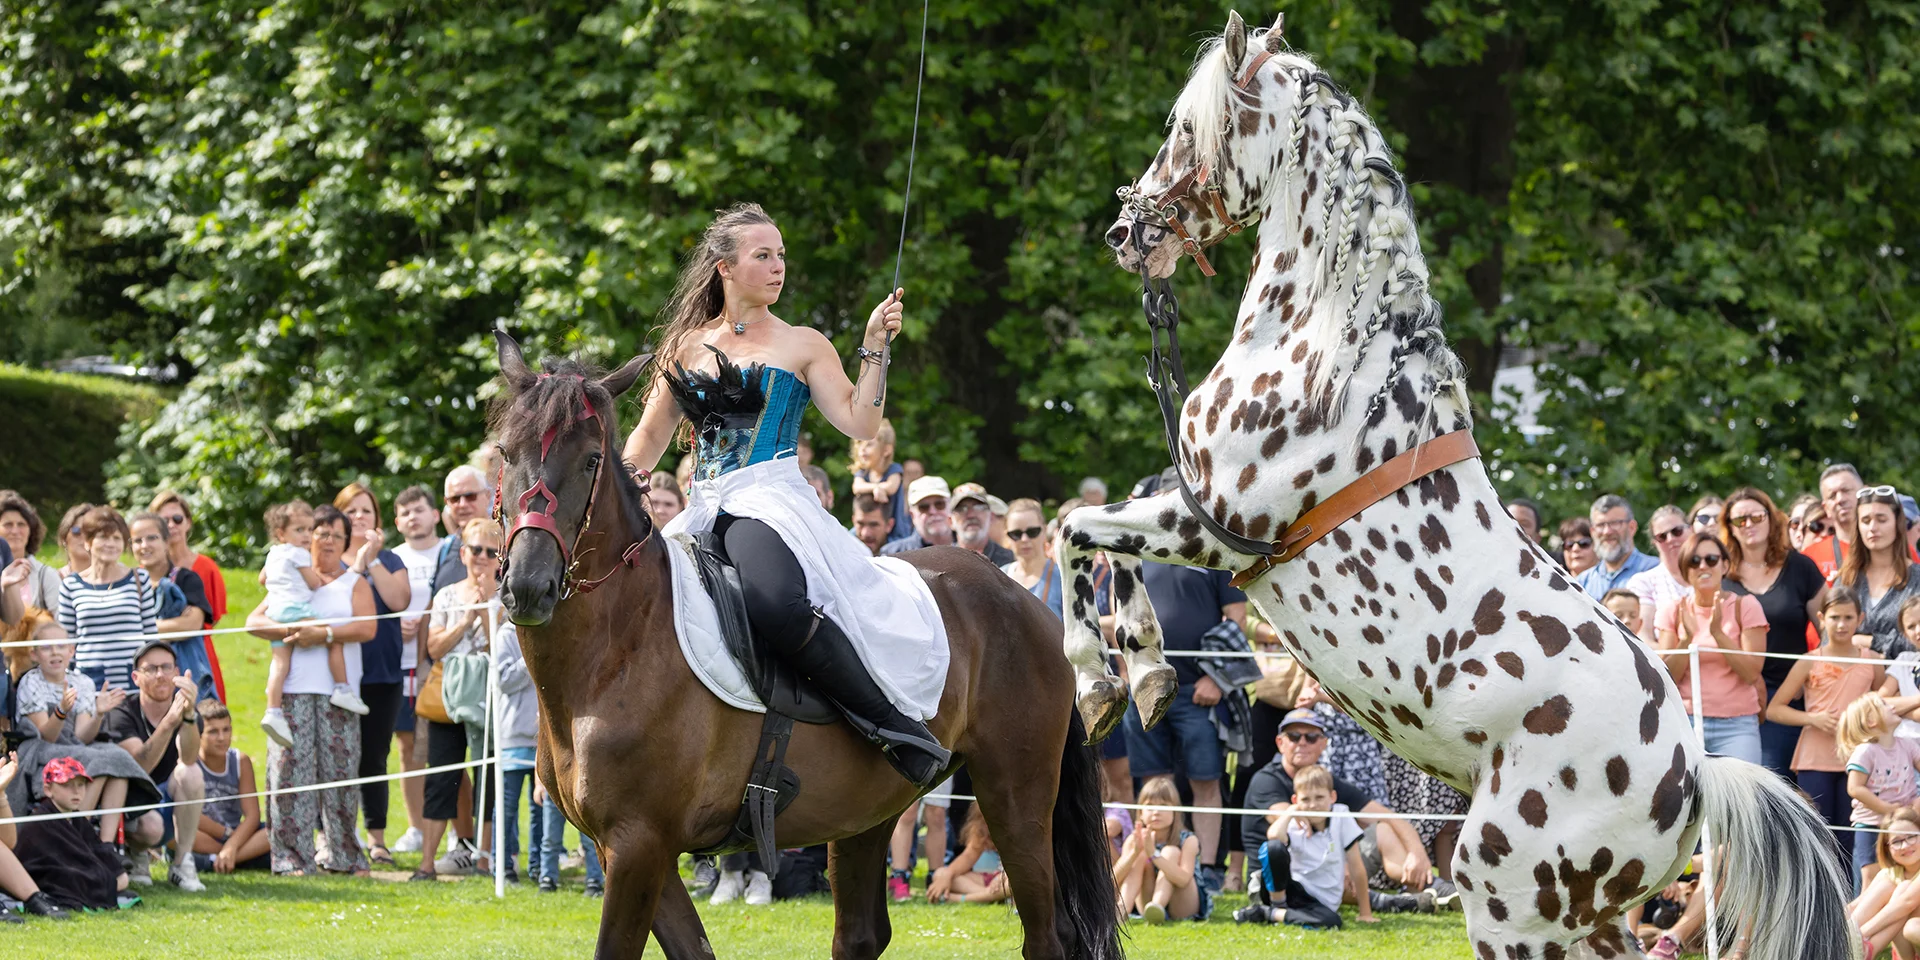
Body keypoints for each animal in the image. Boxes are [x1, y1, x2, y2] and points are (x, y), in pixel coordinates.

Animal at [485, 330, 1120, 960]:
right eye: (505, 454)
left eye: (591, 460)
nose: (529, 585)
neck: (617, 653)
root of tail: (1025, 601)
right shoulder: (637, 851)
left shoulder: (638, 844)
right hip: (869, 810)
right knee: (862, 934)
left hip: (1016, 796)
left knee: (1046, 935)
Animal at [1056, 11, 1854, 960]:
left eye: (1186, 128)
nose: (1124, 234)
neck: (1331, 356)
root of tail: (1697, 777)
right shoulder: (1195, 516)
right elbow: (1096, 536)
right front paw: (1142, 677)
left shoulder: (1214, 525)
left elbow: (1076, 528)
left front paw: (1108, 681)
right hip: (1583, 918)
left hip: (1506, 898)